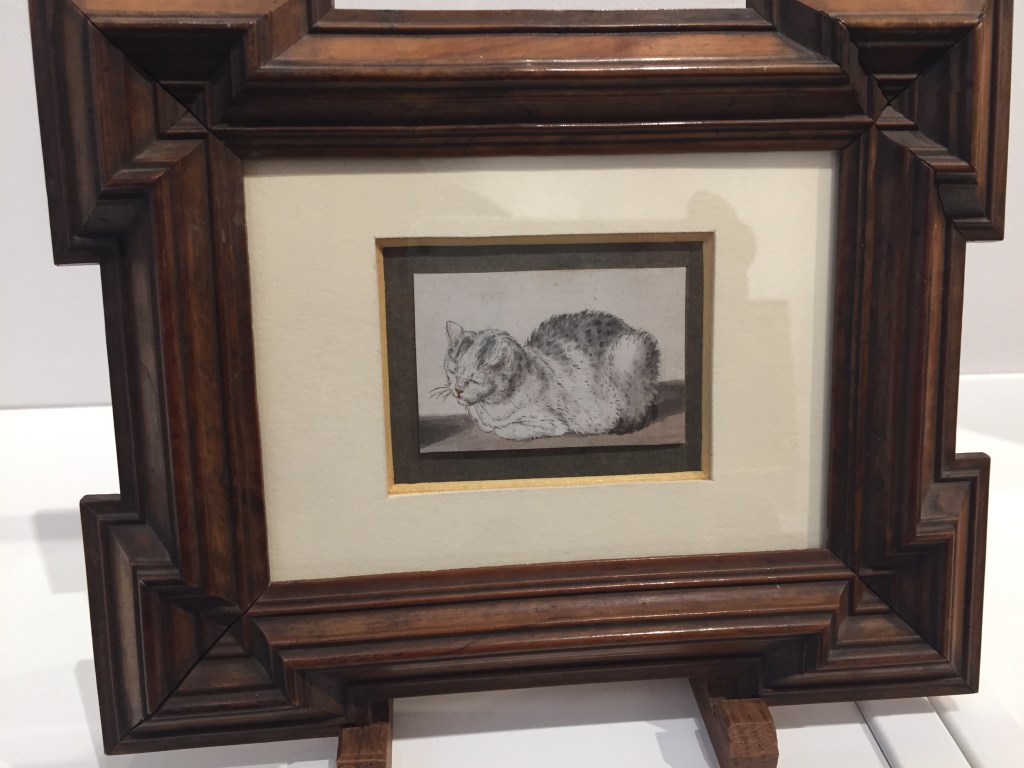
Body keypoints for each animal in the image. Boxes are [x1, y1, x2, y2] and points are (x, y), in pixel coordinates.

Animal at [437, 310, 661, 441]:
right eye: (452, 372)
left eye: (473, 379)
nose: (457, 390)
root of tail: (627, 327)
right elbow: (485, 426)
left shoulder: (552, 422)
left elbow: (510, 429)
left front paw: (502, 429)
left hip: (628, 352)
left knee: (638, 409)